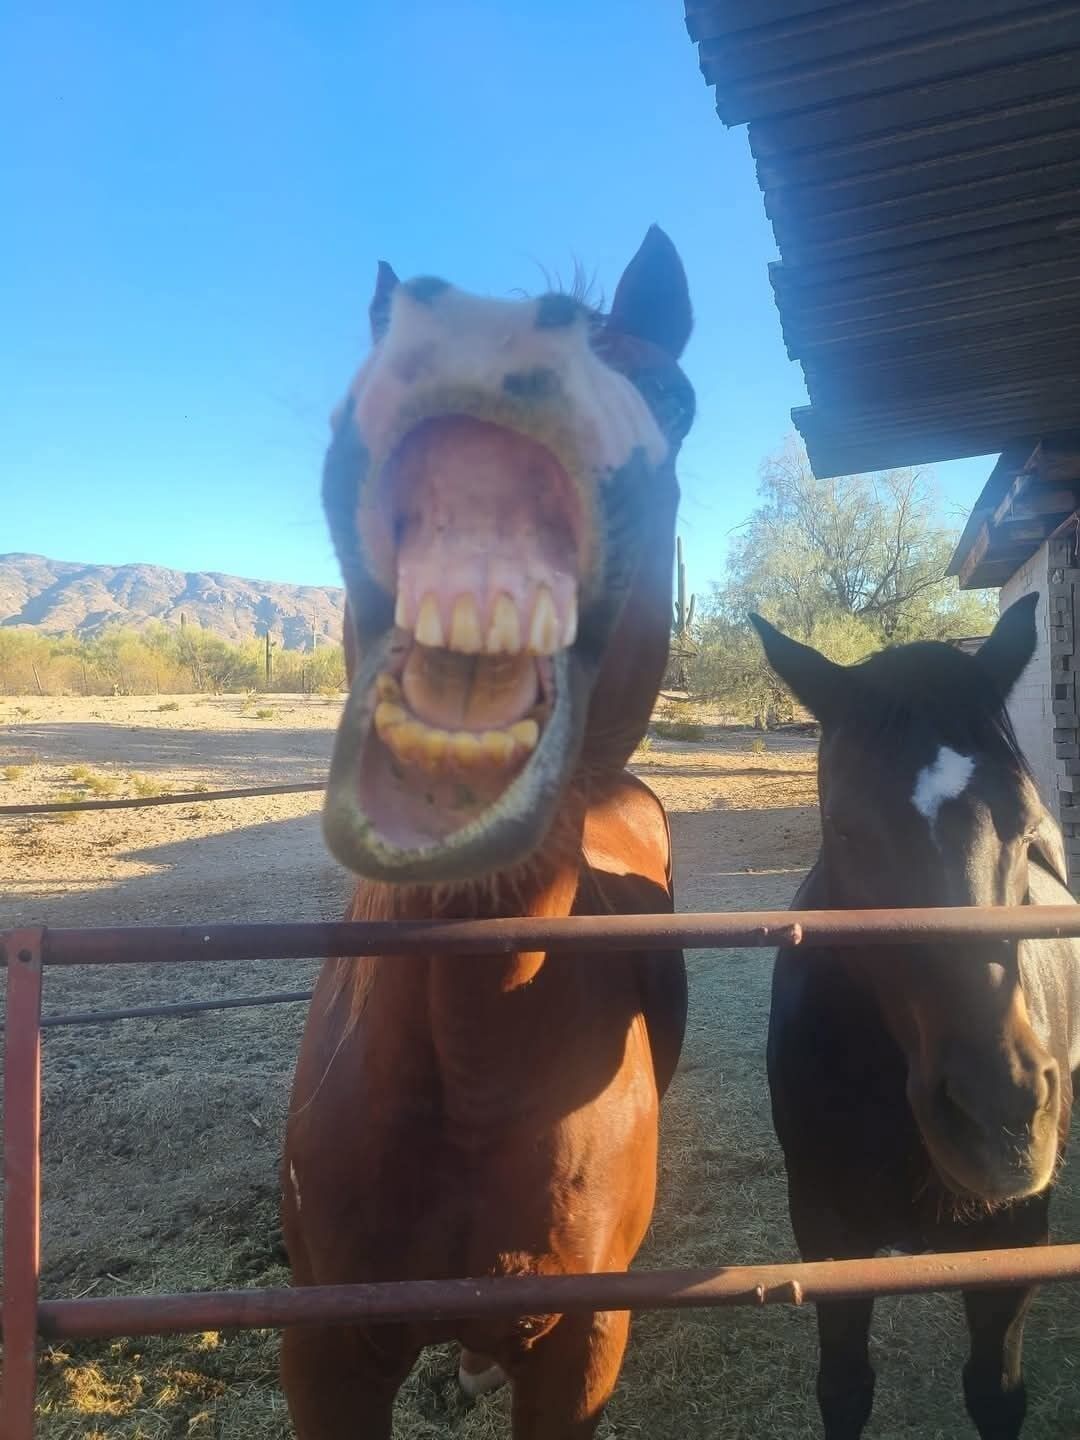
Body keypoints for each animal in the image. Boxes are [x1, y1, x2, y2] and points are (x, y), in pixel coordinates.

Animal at [751, 594, 1080, 1440]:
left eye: (1026, 823)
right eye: (843, 826)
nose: (998, 1118)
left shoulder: (1013, 1243)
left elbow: (996, 1392)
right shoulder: (827, 1242)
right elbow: (844, 1387)